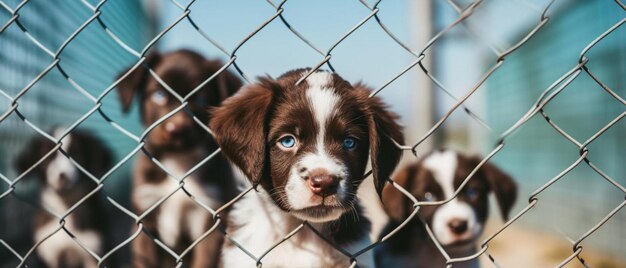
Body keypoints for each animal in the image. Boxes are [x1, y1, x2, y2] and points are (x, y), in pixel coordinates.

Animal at [14, 129, 112, 266]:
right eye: (48, 158)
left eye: (77, 155)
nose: (62, 176)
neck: (65, 206)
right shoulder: (49, 254)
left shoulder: (96, 249)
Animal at [116, 49, 243, 266]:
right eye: (158, 95)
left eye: (200, 99)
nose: (175, 130)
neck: (179, 162)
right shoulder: (145, 215)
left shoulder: (211, 218)